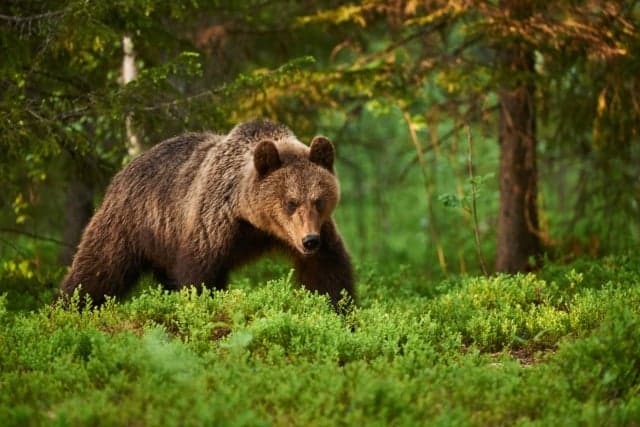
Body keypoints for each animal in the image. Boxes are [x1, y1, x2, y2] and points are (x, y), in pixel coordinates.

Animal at [60, 120, 356, 310]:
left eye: (318, 201)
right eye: (291, 202)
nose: (309, 241)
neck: (255, 221)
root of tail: (123, 170)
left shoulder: (315, 231)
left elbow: (328, 271)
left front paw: (341, 311)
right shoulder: (213, 223)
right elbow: (198, 276)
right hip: (131, 222)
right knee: (98, 269)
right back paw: (66, 308)